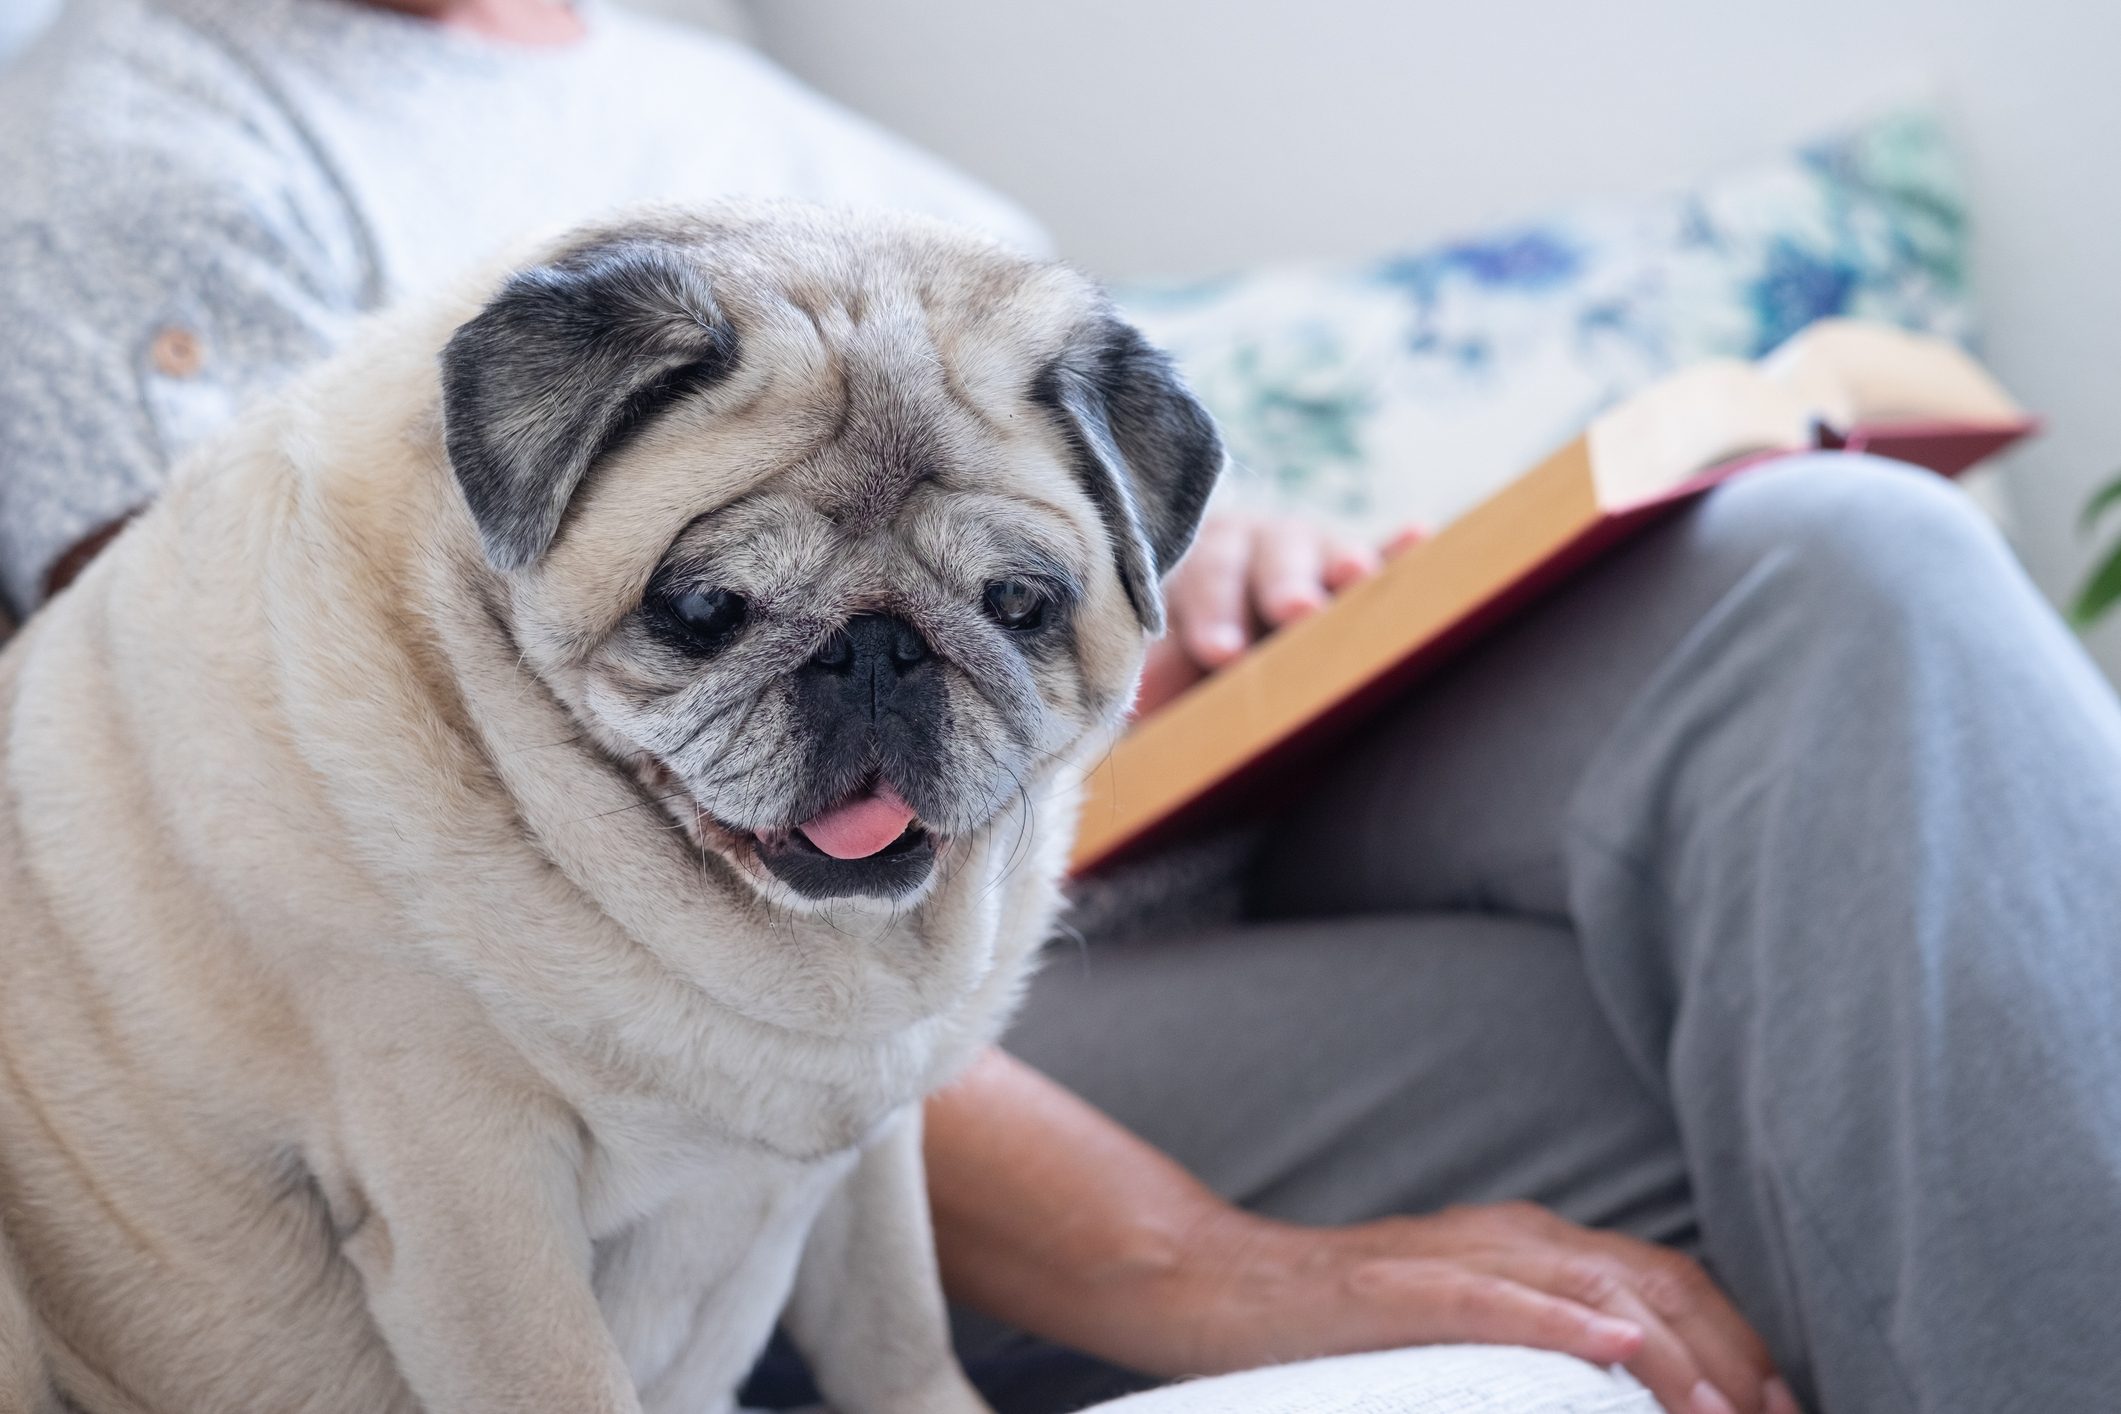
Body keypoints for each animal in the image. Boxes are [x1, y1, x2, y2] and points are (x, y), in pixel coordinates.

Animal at [0, 201, 1221, 1414]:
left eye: (1018, 602)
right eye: (704, 607)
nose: (879, 648)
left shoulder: (872, 1155)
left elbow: (897, 1331)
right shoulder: (476, 1208)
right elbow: (565, 1375)